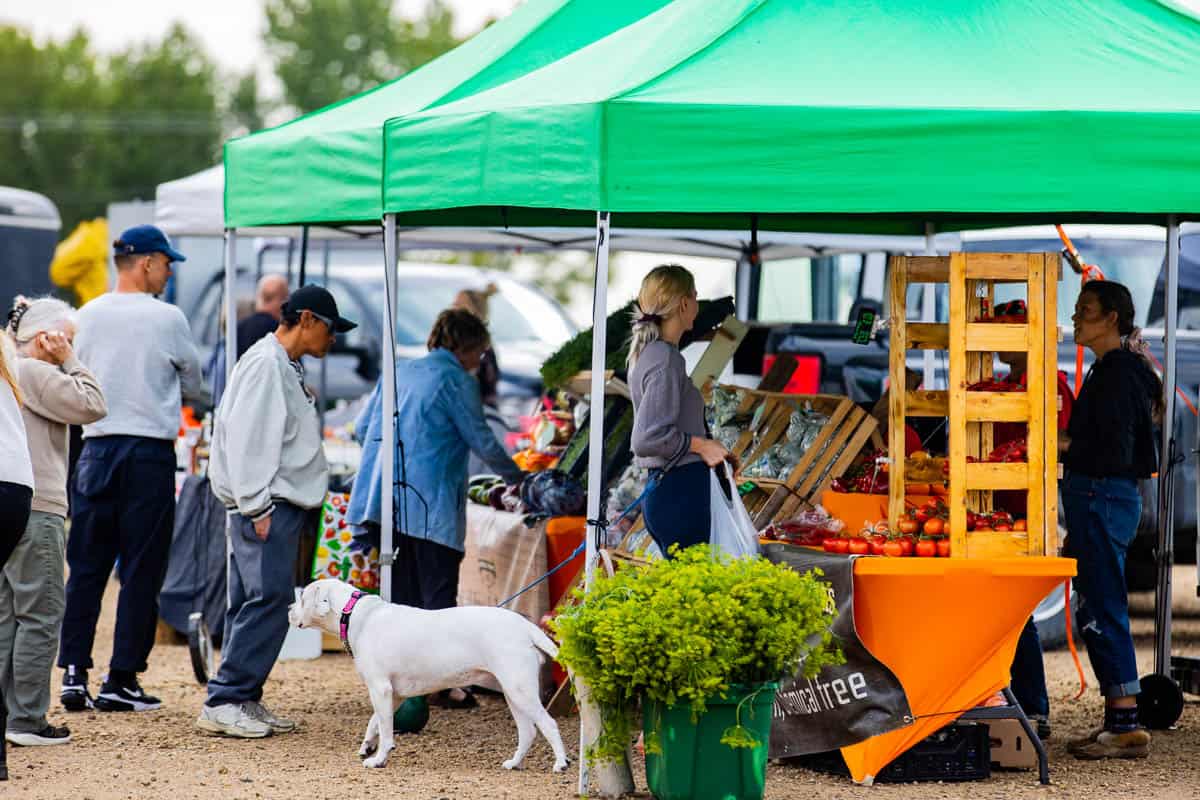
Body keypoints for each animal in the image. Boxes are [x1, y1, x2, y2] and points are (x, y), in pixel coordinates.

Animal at [290, 578, 571, 772]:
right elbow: (376, 721)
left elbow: (386, 728)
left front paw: (379, 759)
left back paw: (560, 763)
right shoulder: (394, 694)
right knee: (528, 732)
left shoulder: (380, 688)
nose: (290, 609)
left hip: (520, 690)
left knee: (548, 724)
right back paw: (514, 763)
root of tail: (525, 625)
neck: (357, 615)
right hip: (514, 694)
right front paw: (368, 745)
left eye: (302, 599)